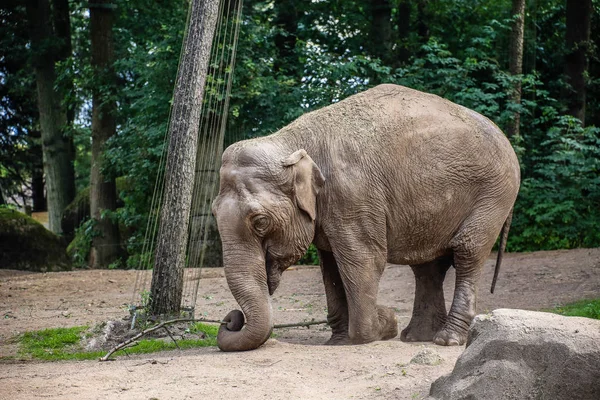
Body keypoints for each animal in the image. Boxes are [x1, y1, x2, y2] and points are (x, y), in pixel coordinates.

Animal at [214, 83, 520, 350]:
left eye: (260, 222)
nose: (231, 319)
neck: (292, 141)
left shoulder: (354, 194)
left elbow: (364, 260)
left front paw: (380, 325)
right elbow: (331, 267)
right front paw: (339, 340)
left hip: (494, 195)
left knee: (468, 251)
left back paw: (446, 340)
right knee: (427, 268)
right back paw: (416, 337)